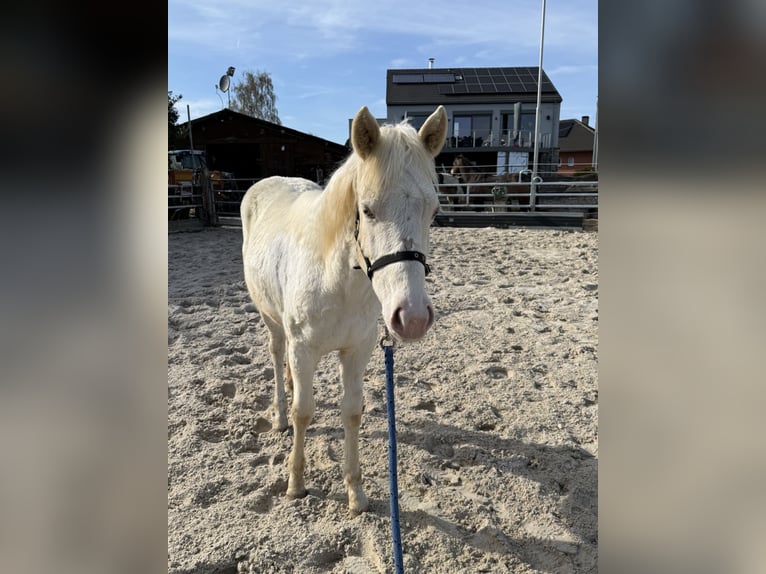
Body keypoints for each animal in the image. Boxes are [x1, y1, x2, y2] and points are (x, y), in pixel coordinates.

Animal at [240, 105, 447, 514]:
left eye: (433, 211)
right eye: (366, 210)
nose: (413, 318)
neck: (337, 283)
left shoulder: (357, 350)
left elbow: (351, 412)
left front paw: (356, 492)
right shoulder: (303, 348)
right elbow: (303, 412)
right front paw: (296, 484)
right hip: (271, 320)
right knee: (277, 356)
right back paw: (279, 415)